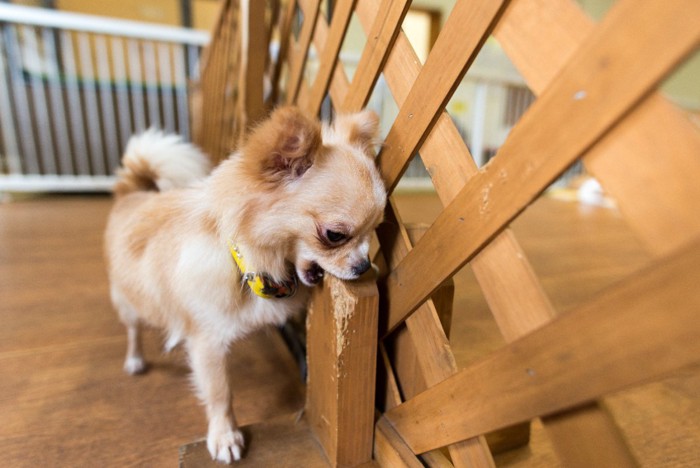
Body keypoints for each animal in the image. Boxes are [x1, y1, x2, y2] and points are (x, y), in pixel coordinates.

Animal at [104, 107, 386, 464]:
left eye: (375, 231)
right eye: (334, 235)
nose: (363, 266)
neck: (248, 263)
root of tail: (133, 191)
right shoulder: (207, 343)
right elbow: (220, 392)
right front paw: (225, 436)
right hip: (127, 301)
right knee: (133, 330)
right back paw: (135, 359)